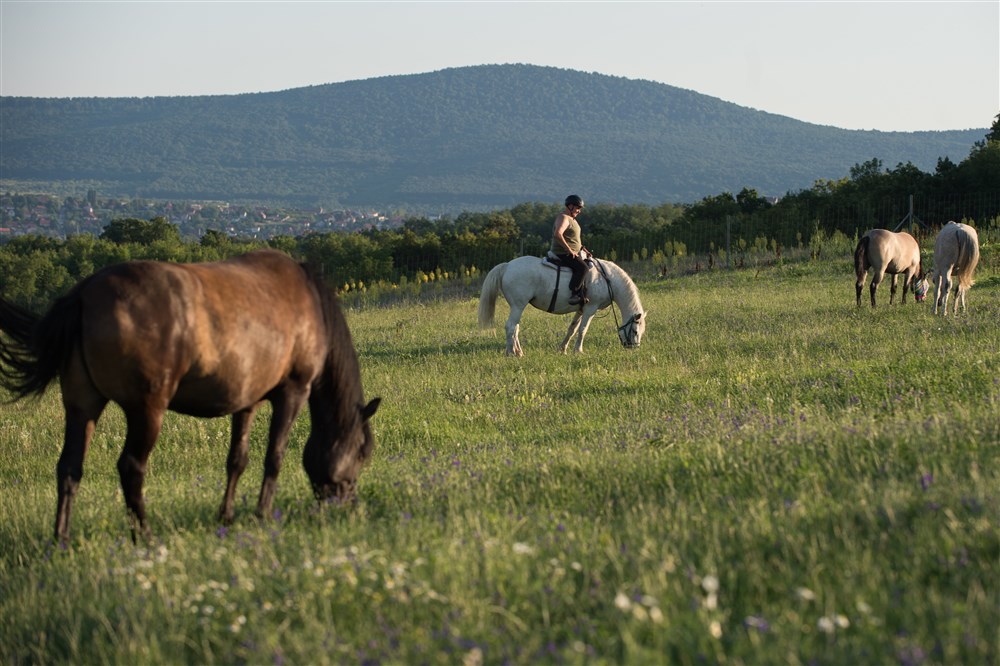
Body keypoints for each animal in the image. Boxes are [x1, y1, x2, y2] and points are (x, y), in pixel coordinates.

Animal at [0, 249, 380, 543]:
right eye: (362, 452)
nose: (349, 504)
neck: (309, 301)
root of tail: (82, 295)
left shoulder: (247, 400)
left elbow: (237, 459)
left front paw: (226, 517)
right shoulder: (294, 390)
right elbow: (274, 457)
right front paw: (261, 514)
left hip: (82, 405)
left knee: (69, 467)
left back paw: (61, 539)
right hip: (146, 409)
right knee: (131, 467)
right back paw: (145, 536)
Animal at [477, 254, 646, 356]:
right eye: (635, 331)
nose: (633, 348)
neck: (606, 279)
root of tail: (507, 266)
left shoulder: (581, 309)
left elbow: (572, 329)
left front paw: (563, 349)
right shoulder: (590, 309)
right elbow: (583, 330)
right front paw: (578, 350)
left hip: (518, 307)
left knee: (515, 328)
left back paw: (518, 351)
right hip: (518, 306)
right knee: (511, 326)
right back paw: (511, 353)